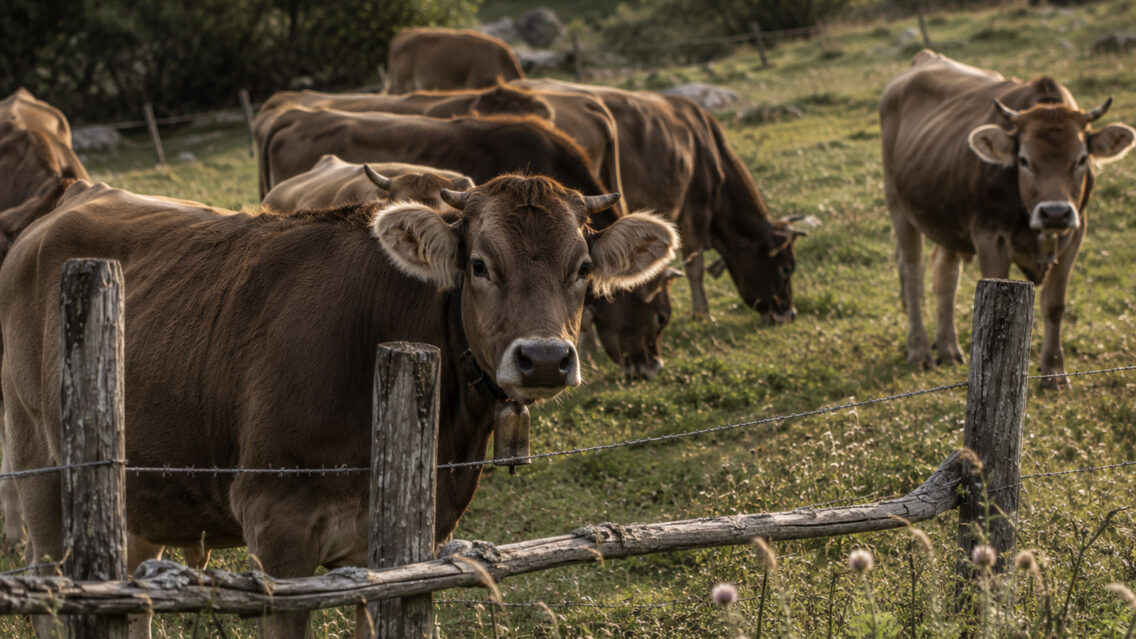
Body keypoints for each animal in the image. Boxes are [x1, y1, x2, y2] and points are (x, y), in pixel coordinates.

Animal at [0, 175, 679, 638]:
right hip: (38, 462)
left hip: (140, 494)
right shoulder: (279, 529)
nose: (543, 358)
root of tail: (72, 197)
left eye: (583, 268)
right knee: (49, 588)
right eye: (480, 264)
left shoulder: (404, 544)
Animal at [880, 50, 1135, 388]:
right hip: (898, 205)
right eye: (1024, 159)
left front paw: (1054, 371)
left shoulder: (1075, 233)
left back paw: (948, 346)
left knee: (945, 276)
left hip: (946, 216)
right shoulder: (990, 237)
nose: (1055, 212)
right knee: (913, 273)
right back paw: (919, 349)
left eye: (1082, 158)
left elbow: (1054, 305)